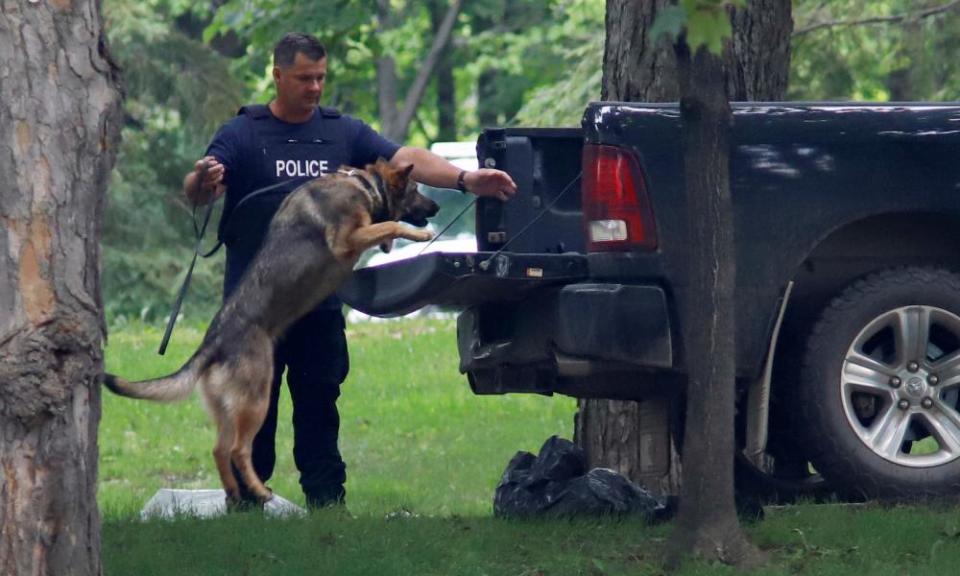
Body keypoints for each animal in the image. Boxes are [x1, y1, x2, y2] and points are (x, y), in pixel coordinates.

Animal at [105, 159, 438, 504]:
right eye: (416, 189)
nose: (436, 207)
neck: (364, 185)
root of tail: (213, 343)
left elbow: (384, 230)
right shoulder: (347, 238)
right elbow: (389, 226)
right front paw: (417, 233)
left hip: (229, 409)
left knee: (219, 450)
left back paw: (236, 492)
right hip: (258, 401)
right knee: (239, 450)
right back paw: (257, 490)